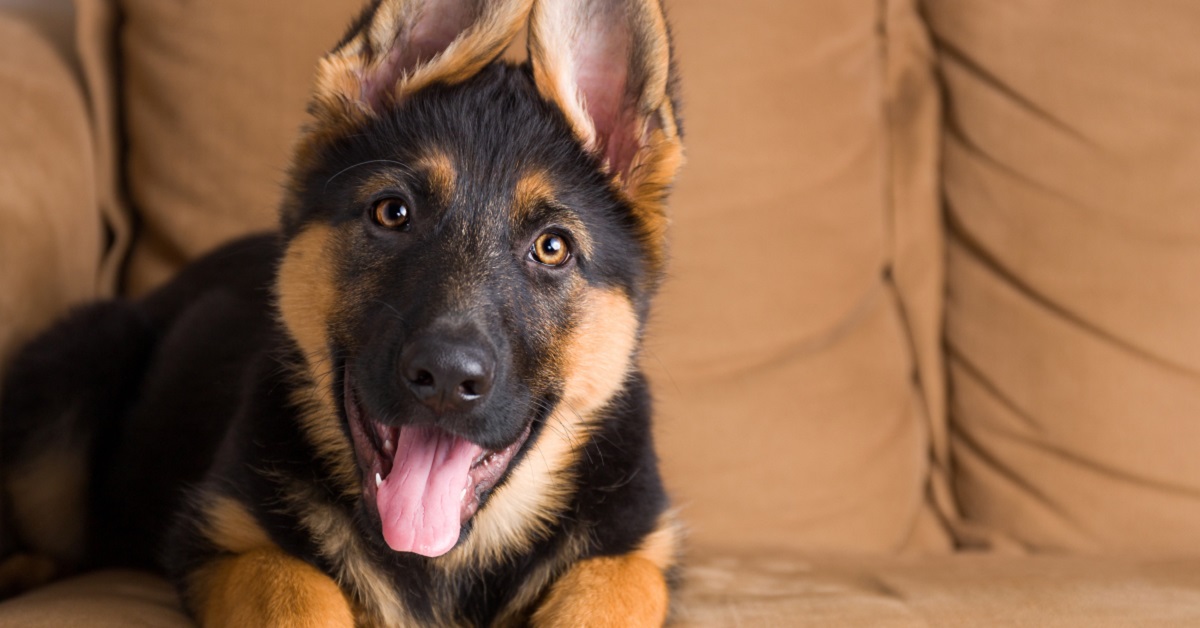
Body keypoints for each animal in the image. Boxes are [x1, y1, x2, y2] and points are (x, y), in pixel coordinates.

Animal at [0, 0, 686, 624]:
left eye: (552, 248)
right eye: (392, 212)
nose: (445, 378)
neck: (439, 561)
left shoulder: (636, 553)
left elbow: (611, 588)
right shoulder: (227, 540)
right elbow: (296, 588)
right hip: (87, 358)